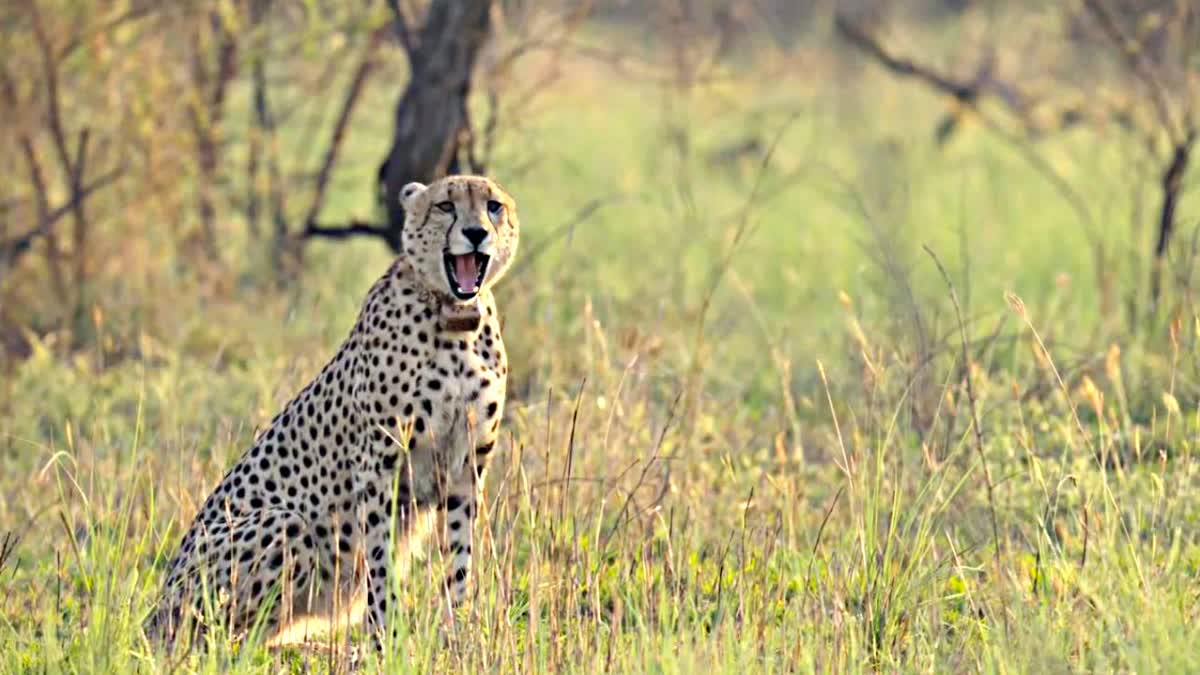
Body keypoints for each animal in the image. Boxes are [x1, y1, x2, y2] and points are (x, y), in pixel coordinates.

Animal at [144, 174, 519, 652]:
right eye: (445, 206)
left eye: (493, 206)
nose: (475, 233)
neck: (455, 319)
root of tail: (155, 611)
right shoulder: (378, 462)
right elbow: (379, 559)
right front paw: (385, 641)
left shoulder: (467, 466)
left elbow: (459, 558)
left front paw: (457, 635)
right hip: (282, 523)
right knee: (221, 642)